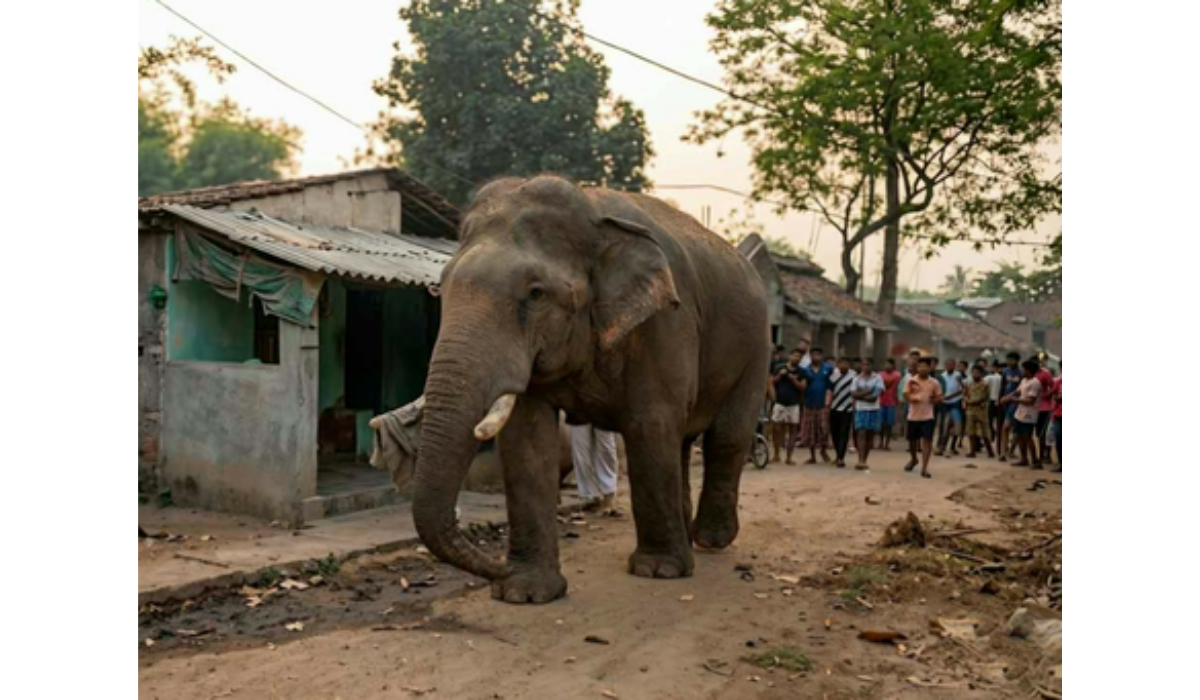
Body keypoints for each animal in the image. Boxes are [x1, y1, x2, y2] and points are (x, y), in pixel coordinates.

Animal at [412, 175, 769, 604]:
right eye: (441, 288)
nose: (496, 568)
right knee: (683, 440)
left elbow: (650, 423)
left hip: (756, 348)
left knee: (726, 437)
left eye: (536, 293)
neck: (593, 212)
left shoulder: (667, 321)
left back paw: (710, 541)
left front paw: (659, 571)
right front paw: (524, 592)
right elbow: (526, 439)